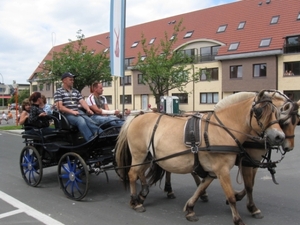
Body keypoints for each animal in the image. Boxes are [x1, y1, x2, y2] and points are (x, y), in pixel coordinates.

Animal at [114, 90, 284, 225]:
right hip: (139, 154)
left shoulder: (213, 171)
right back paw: (135, 201)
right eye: (259, 111)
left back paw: (143, 194)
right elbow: (230, 196)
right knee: (132, 174)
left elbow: (202, 187)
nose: (279, 137)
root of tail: (137, 116)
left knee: (139, 172)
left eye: (277, 112)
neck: (222, 129)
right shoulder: (222, 170)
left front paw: (190, 209)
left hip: (149, 156)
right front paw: (238, 219)